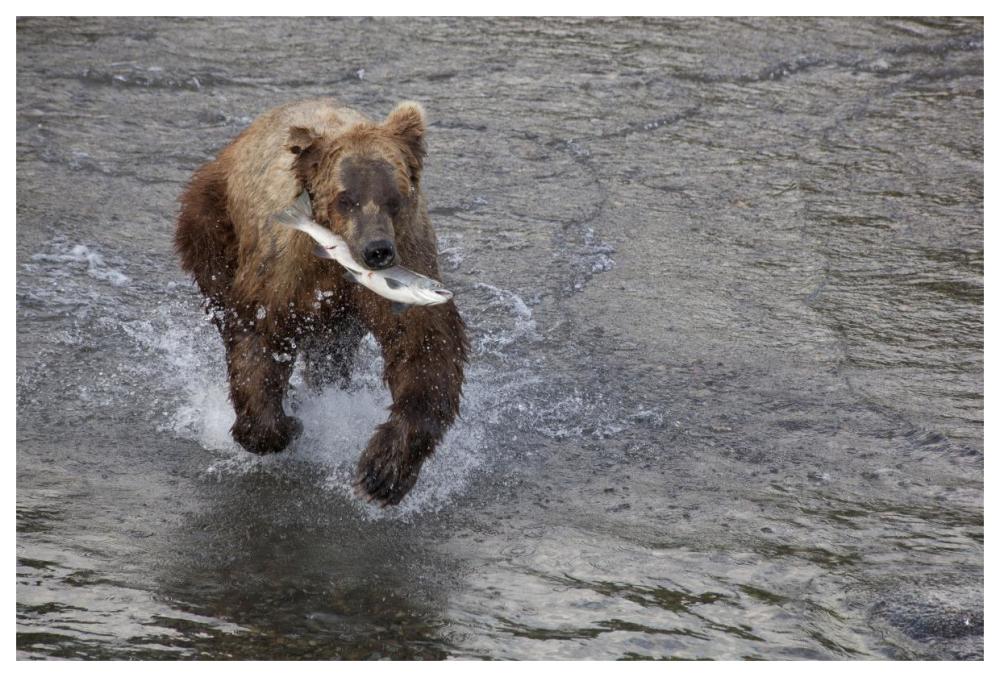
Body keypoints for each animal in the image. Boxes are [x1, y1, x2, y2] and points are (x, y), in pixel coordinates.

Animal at [174, 98, 468, 506]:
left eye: (394, 198)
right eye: (346, 198)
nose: (377, 250)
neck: (336, 262)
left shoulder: (409, 255)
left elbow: (424, 348)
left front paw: (382, 472)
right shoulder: (285, 270)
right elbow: (259, 335)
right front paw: (284, 425)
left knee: (332, 350)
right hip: (213, 219)